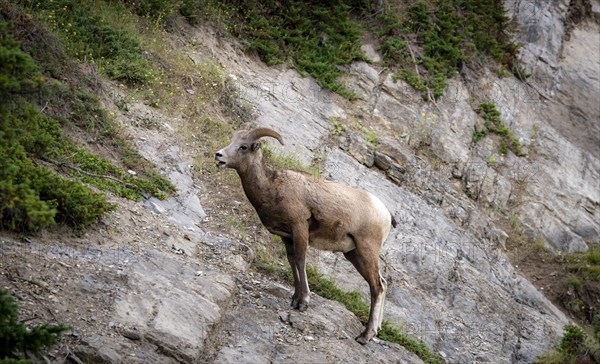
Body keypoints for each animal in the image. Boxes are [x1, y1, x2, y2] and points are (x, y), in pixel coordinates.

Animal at [214, 128, 394, 344]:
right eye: (233, 141)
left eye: (244, 146)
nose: (219, 156)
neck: (271, 187)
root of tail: (386, 214)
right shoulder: (286, 237)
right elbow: (292, 262)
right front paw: (294, 299)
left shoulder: (299, 227)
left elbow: (301, 260)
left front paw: (303, 303)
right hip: (353, 254)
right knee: (381, 284)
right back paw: (376, 330)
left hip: (367, 250)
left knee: (377, 286)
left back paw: (365, 336)